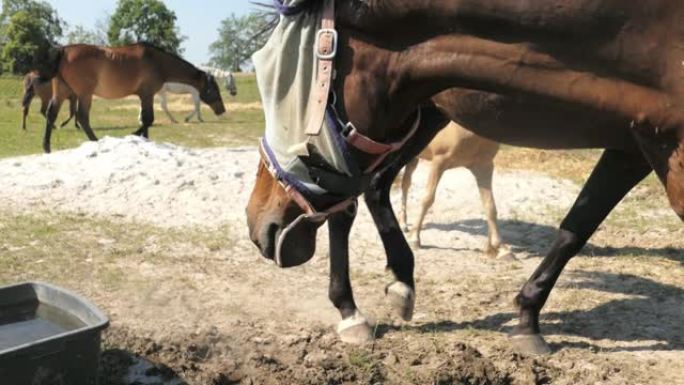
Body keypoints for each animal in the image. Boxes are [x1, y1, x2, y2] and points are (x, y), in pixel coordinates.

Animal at [38, 42, 226, 152]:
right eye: (214, 90)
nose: (222, 110)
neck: (157, 62)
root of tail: (64, 50)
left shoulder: (144, 96)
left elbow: (145, 119)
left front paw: (145, 139)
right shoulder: (147, 94)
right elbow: (148, 119)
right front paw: (135, 135)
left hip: (62, 92)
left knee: (51, 114)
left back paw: (46, 147)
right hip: (84, 94)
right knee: (82, 117)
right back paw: (96, 142)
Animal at [398, 121, 510, 258]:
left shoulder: (484, 165)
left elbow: (489, 205)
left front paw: (500, 248)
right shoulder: (439, 161)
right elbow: (427, 199)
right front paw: (415, 238)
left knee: (405, 184)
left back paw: (403, 223)